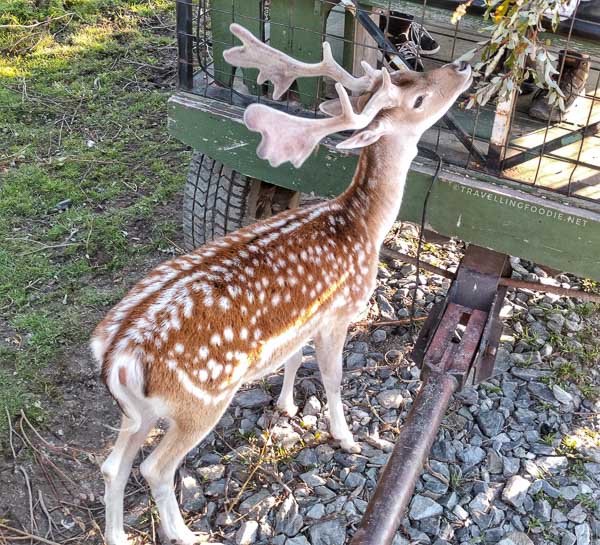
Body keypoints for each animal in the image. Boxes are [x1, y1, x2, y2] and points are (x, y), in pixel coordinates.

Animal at [92, 23, 468, 544]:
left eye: (412, 72)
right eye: (417, 99)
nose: (463, 67)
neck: (362, 227)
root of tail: (115, 358)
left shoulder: (306, 317)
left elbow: (292, 357)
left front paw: (288, 406)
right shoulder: (340, 311)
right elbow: (332, 378)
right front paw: (346, 438)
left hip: (140, 412)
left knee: (113, 466)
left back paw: (118, 534)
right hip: (200, 401)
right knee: (155, 468)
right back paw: (185, 533)